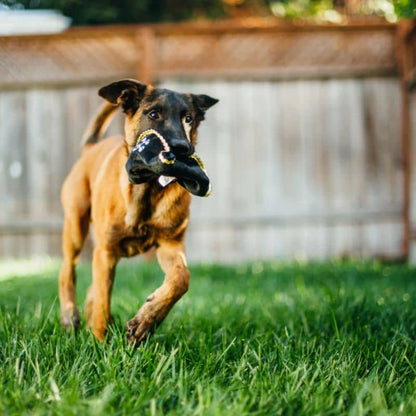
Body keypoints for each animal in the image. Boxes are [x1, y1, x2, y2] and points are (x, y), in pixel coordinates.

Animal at [59, 79, 219, 344]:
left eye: (188, 118)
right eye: (153, 114)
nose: (182, 149)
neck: (148, 191)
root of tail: (90, 149)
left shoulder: (170, 245)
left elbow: (181, 278)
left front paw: (146, 320)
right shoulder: (106, 252)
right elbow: (103, 300)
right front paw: (99, 344)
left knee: (92, 287)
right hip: (76, 226)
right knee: (67, 271)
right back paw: (70, 316)